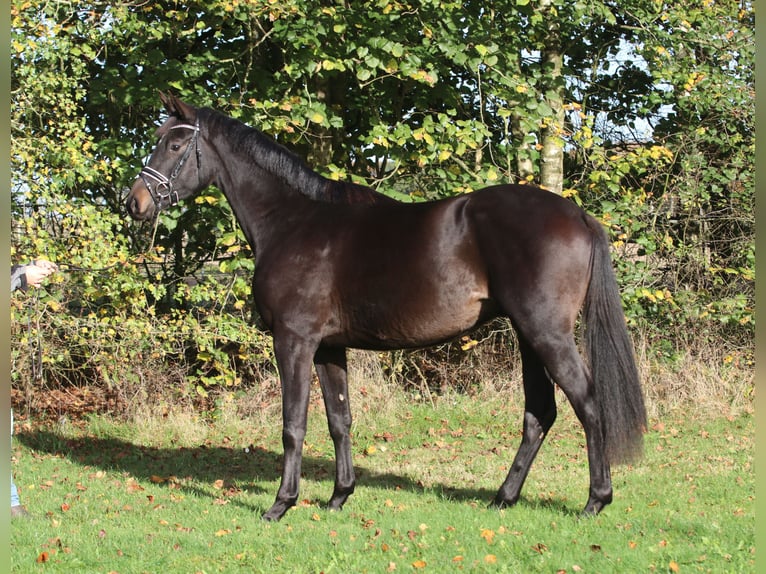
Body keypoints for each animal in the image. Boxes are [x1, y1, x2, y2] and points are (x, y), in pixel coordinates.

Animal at [126, 93, 648, 520]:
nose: (134, 202)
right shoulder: (327, 348)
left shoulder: (294, 341)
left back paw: (595, 500)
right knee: (539, 414)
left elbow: (294, 424)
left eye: (175, 144)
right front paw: (339, 496)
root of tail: (577, 215)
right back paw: (504, 497)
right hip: (528, 337)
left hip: (547, 333)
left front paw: (281, 504)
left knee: (587, 404)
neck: (293, 222)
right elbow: (339, 420)